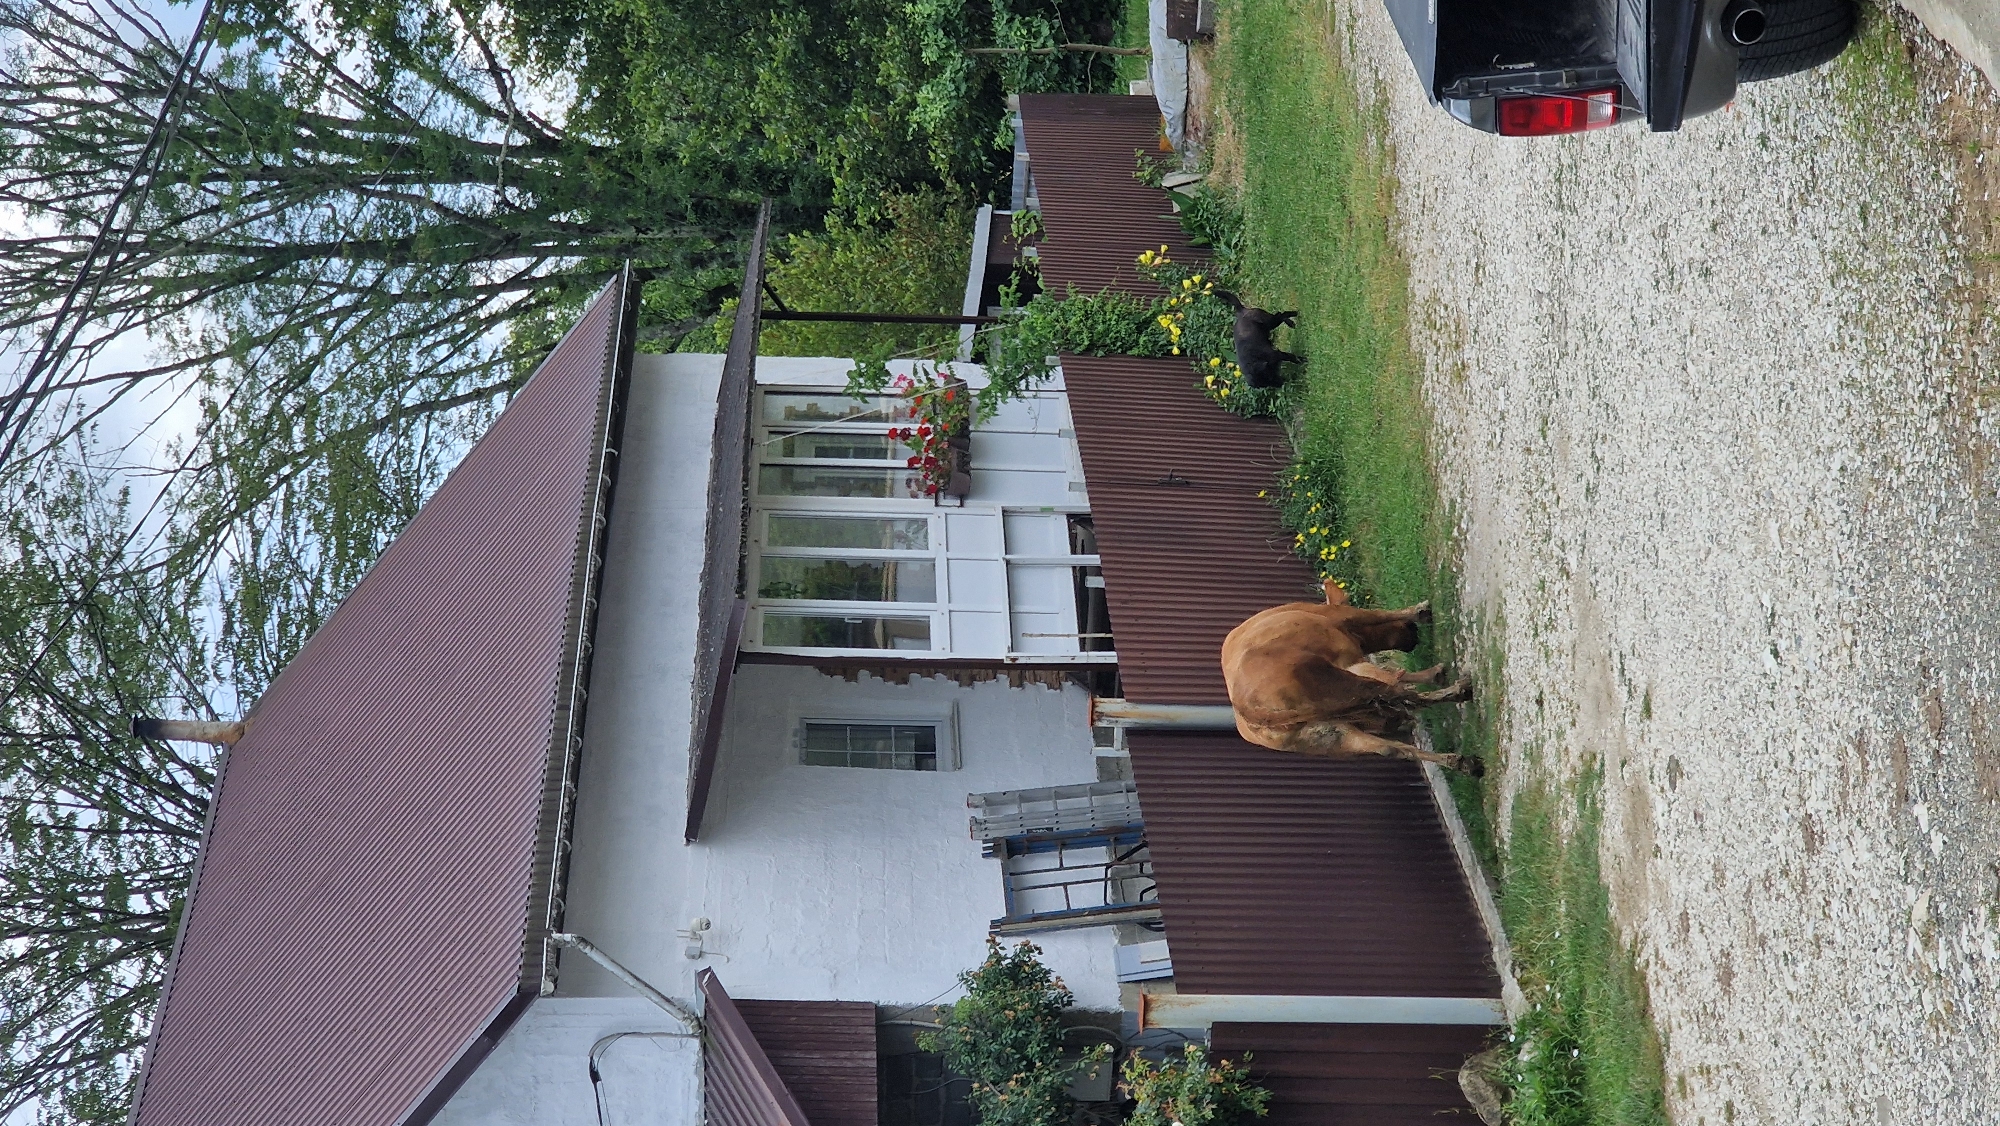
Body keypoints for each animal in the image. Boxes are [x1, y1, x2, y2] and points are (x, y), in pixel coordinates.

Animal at [1220, 578, 1481, 774]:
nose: (1412, 632)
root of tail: (1247, 709)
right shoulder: (1346, 619)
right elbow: (1380, 615)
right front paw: (1421, 611)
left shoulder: (1352, 661)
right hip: (1345, 686)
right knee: (1401, 696)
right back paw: (1460, 691)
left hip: (1332, 735)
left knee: (1390, 746)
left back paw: (1462, 762)